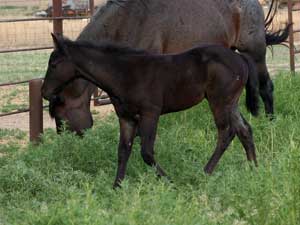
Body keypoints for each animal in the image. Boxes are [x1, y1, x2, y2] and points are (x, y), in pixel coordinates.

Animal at [48, 0, 290, 135]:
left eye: (59, 109)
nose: (66, 140)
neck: (129, 20)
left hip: (254, 52)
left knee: (266, 87)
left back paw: (271, 123)